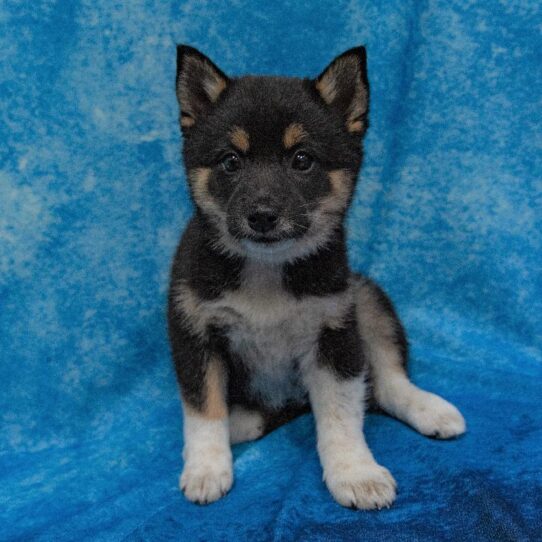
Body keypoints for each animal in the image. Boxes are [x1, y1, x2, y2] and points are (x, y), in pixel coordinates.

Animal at [168, 44, 466, 512]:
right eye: (231, 161)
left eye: (302, 160)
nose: (262, 216)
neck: (267, 271)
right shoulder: (194, 331)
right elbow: (204, 412)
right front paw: (206, 469)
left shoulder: (334, 331)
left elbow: (341, 415)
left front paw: (356, 474)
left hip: (367, 298)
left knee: (387, 383)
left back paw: (431, 410)